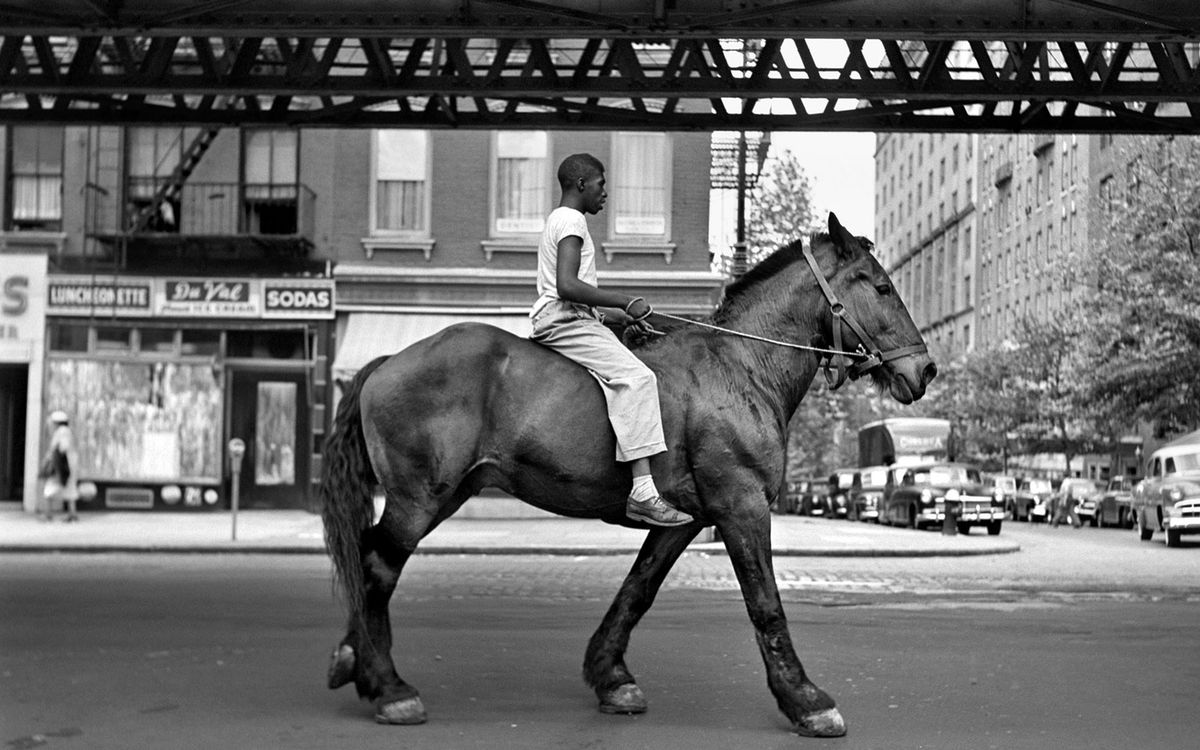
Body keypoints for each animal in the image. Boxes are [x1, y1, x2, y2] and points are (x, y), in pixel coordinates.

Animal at [321, 212, 936, 739]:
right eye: (880, 286)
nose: (924, 369)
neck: (740, 367)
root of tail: (388, 361)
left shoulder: (684, 520)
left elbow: (637, 590)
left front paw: (610, 676)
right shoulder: (742, 506)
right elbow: (765, 603)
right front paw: (806, 700)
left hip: (444, 494)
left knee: (368, 556)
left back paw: (354, 660)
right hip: (420, 498)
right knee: (376, 566)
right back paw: (388, 685)